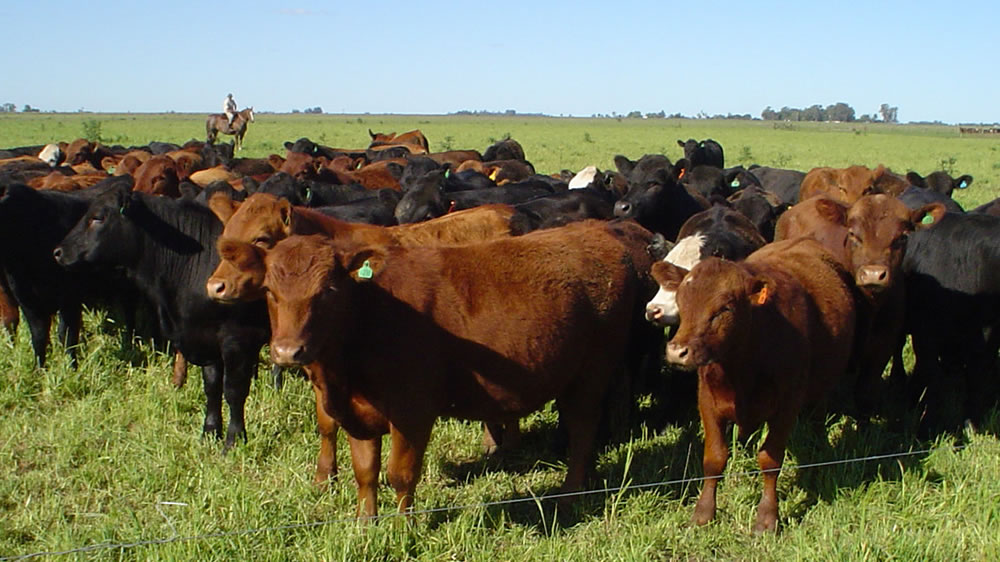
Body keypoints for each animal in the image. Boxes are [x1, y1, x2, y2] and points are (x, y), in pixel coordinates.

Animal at [52, 186, 268, 448]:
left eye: (98, 217)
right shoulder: (205, 337)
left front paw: (234, 441)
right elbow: (212, 386)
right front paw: (209, 433)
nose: (58, 252)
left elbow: (234, 391)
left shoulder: (238, 338)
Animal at [266, 218, 656, 512]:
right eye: (270, 290)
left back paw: (570, 494)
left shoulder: (412, 412)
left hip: (591, 373)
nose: (288, 351)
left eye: (328, 290)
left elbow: (400, 475)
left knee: (582, 428)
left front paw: (401, 528)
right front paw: (366, 524)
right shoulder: (358, 414)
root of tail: (600, 232)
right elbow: (366, 472)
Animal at [660, 235, 856, 528]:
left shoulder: (788, 404)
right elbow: (714, 458)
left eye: (724, 308)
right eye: (682, 302)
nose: (677, 351)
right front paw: (703, 513)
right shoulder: (707, 400)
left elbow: (770, 459)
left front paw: (767, 517)